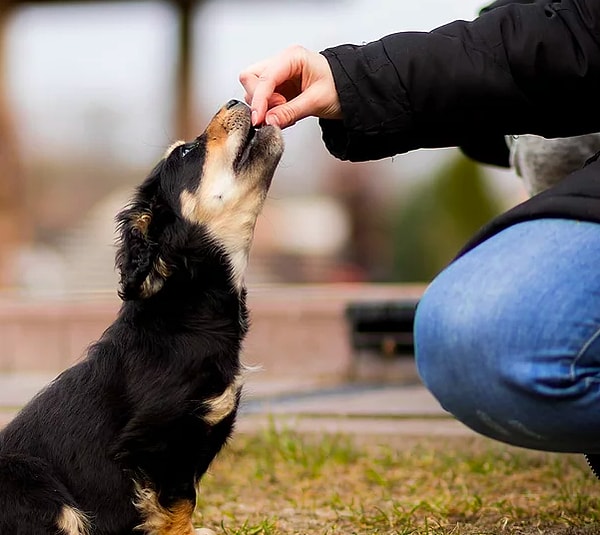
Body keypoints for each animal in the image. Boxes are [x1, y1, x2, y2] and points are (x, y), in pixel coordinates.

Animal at [0, 101, 284, 535]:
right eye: (185, 153)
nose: (237, 101)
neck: (187, 304)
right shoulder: (156, 444)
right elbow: (177, 504)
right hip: (31, 481)